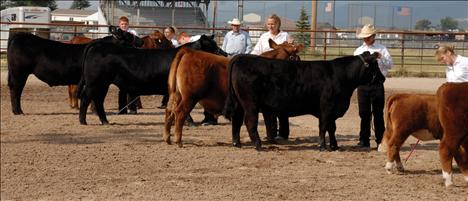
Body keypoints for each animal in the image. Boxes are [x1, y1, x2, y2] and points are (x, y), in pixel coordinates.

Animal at [6, 26, 143, 114]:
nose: (141, 40)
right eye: (128, 35)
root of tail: (20, 36)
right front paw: (94, 111)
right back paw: (18, 111)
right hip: (19, 73)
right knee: (16, 90)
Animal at [77, 35, 228, 125]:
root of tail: (97, 45)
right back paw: (83, 121)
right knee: (86, 99)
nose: (225, 53)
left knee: (98, 101)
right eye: (212, 47)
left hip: (102, 84)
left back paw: (104, 121)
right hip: (94, 83)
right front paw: (189, 122)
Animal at [164, 39, 304, 146]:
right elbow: (270, 123)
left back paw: (167, 138)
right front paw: (271, 140)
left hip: (176, 95)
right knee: (179, 113)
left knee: (169, 111)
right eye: (296, 57)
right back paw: (178, 141)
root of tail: (188, 52)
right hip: (190, 97)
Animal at [224, 51, 384, 151]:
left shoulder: (332, 111)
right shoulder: (326, 107)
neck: (340, 75)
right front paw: (322, 147)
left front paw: (335, 146)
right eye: (375, 66)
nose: (383, 78)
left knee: (237, 121)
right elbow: (323, 127)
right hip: (250, 104)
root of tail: (241, 58)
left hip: (239, 104)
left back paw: (237, 143)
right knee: (250, 122)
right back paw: (258, 145)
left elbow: (332, 128)